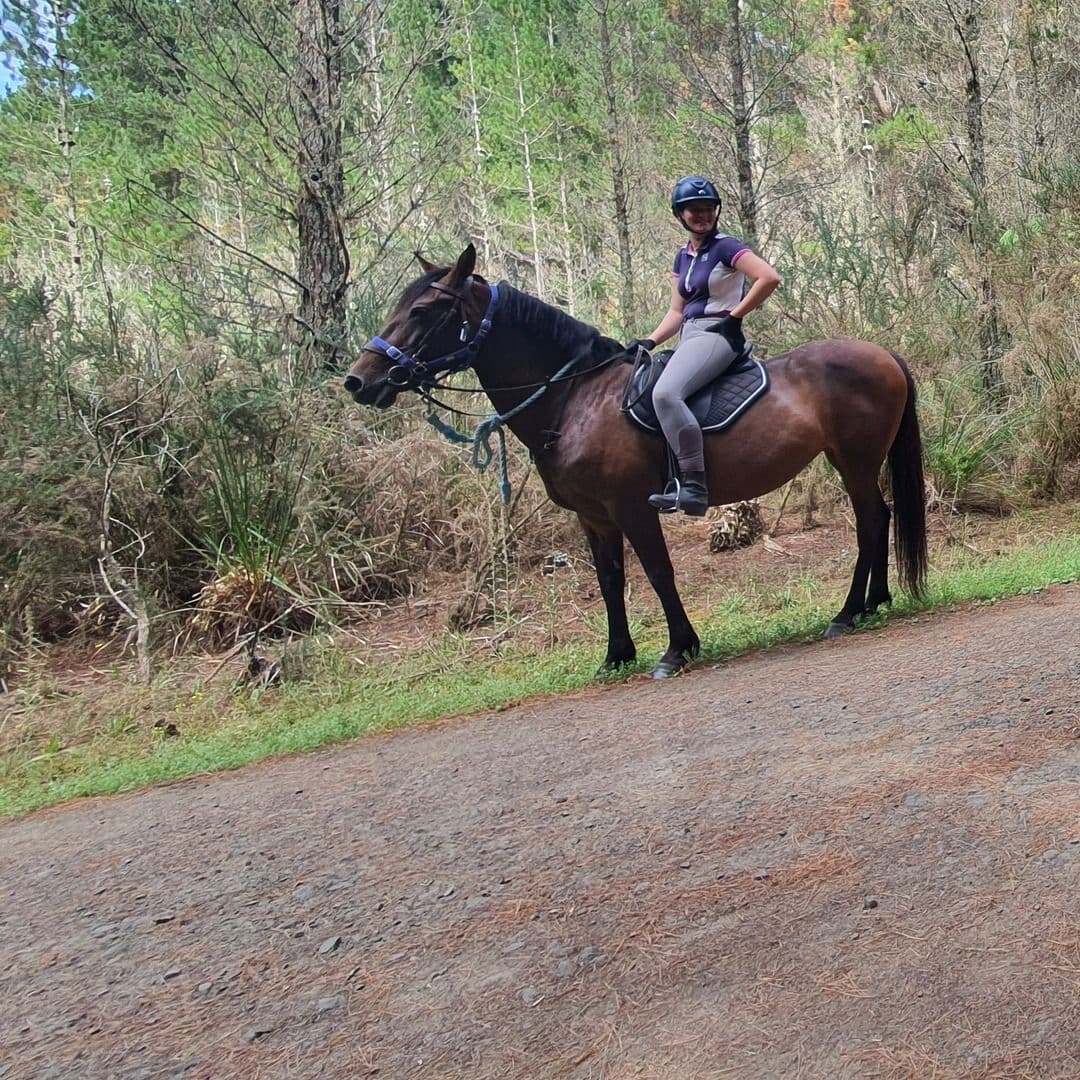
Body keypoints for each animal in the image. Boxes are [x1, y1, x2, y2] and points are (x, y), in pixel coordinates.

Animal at [344, 244, 927, 679]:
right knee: (878, 519)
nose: (358, 381)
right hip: (853, 461)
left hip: (854, 461)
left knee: (871, 521)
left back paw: (849, 612)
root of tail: (884, 354)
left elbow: (657, 571)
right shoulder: (594, 517)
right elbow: (611, 579)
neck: (574, 399)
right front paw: (616, 655)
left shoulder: (632, 507)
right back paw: (873, 602)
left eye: (421, 312)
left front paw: (677, 649)